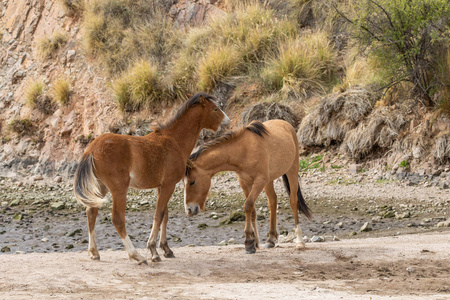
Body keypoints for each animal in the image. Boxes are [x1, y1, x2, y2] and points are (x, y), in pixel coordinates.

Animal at [74, 92, 230, 264]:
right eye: (215, 109)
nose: (227, 122)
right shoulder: (169, 185)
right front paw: (153, 251)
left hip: (100, 187)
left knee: (91, 212)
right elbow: (159, 214)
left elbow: (165, 216)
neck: (174, 140)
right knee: (117, 219)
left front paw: (166, 249)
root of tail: (91, 149)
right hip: (118, 189)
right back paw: (136, 255)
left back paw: (94, 252)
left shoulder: (161, 186)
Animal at [185, 119, 312, 253]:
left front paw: (248, 242)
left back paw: (299, 241)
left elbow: (248, 205)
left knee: (293, 201)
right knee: (272, 201)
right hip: (269, 180)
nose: (189, 210)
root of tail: (286, 124)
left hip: (292, 170)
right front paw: (254, 241)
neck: (244, 151)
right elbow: (252, 210)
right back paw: (271, 239)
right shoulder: (244, 182)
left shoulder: (259, 181)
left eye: (192, 182)